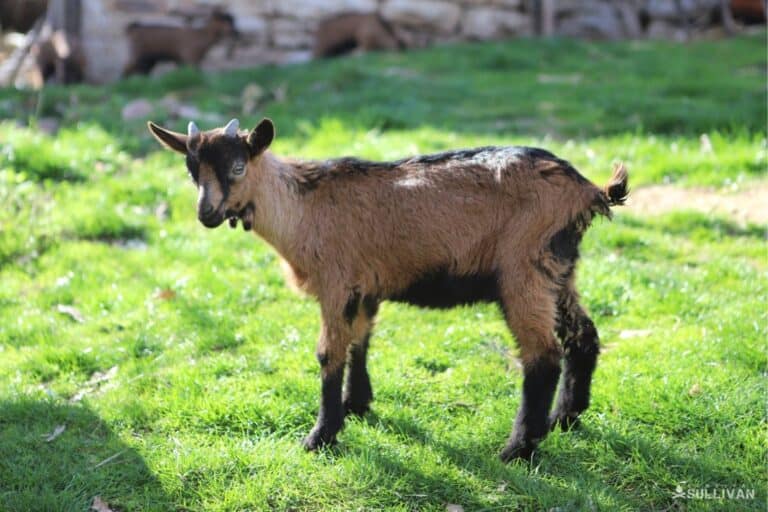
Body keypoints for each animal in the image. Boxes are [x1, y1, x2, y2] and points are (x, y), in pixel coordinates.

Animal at [147, 118, 628, 461]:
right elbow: (359, 342)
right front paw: (356, 406)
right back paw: (564, 419)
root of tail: (587, 190)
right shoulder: (364, 288)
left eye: (237, 166)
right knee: (583, 336)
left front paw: (320, 437)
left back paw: (518, 449)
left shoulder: (336, 282)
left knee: (542, 357)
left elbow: (328, 354)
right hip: (559, 268)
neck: (303, 206)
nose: (207, 214)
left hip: (523, 270)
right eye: (191, 171)